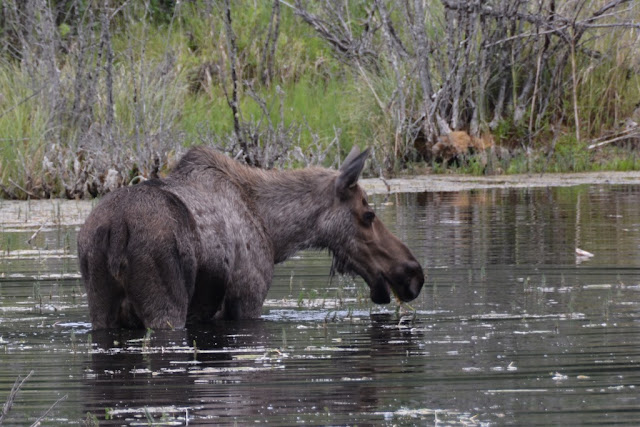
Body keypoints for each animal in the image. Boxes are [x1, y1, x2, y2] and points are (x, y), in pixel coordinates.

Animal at [79, 145, 424, 330]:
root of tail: (115, 229)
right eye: (368, 214)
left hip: (100, 309)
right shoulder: (248, 300)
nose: (413, 273)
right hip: (166, 308)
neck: (274, 232)